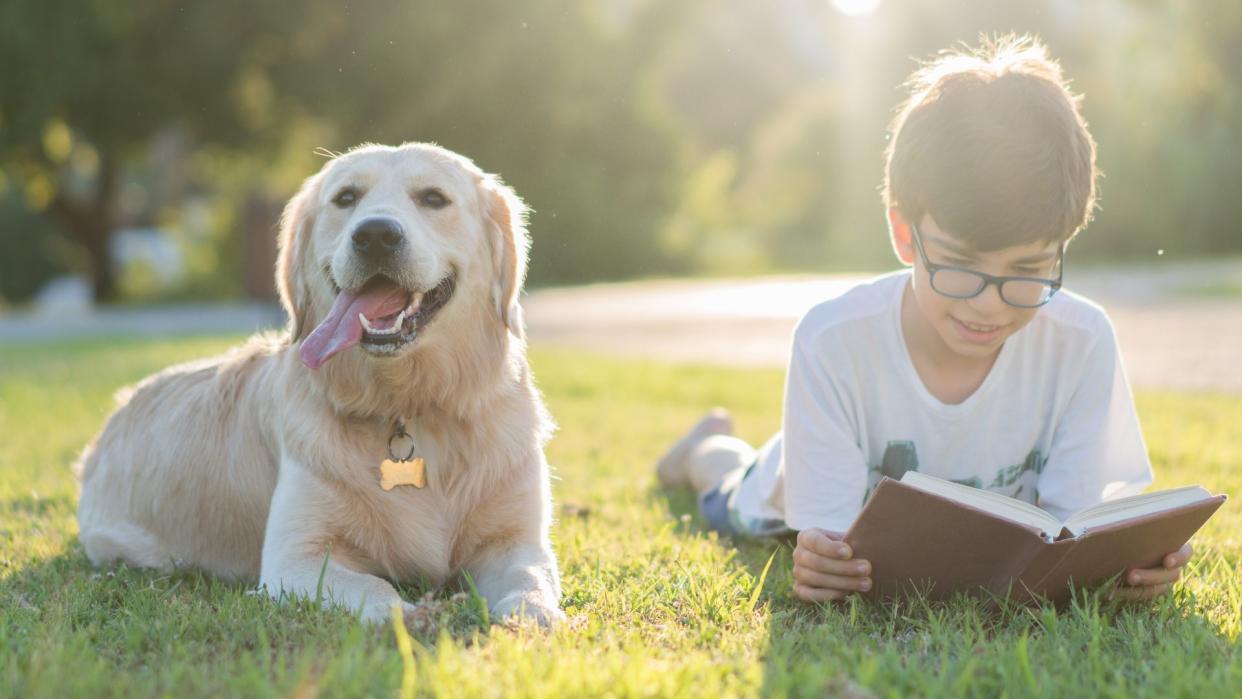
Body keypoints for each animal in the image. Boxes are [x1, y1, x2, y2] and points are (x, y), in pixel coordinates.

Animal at [75, 145, 561, 625]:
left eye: (433, 198)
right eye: (346, 198)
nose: (376, 235)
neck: (406, 406)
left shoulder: (518, 540)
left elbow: (530, 579)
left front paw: (534, 615)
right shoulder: (295, 559)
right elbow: (374, 587)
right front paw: (409, 615)